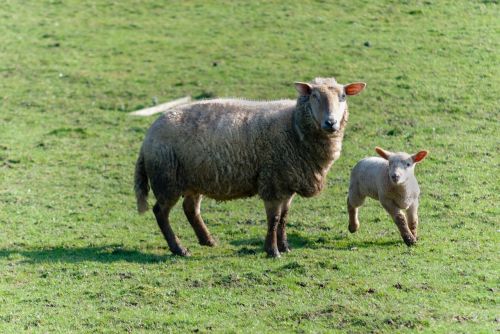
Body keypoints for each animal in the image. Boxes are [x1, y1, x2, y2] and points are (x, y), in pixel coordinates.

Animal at [135, 77, 366, 258]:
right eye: (314, 96)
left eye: (343, 96)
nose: (331, 123)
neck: (293, 126)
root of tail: (148, 137)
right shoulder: (272, 181)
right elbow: (273, 219)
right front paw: (272, 251)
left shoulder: (288, 182)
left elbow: (284, 218)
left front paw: (285, 247)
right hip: (166, 178)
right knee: (160, 212)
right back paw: (179, 248)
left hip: (193, 178)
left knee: (190, 209)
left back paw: (207, 240)